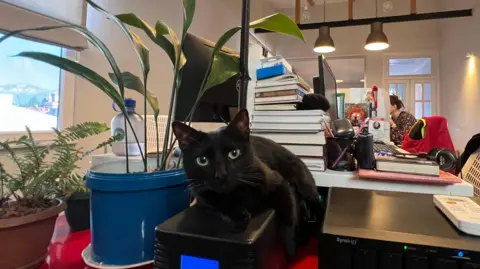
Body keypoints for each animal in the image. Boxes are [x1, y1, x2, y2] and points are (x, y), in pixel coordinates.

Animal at [171, 108, 320, 256]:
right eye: (202, 160)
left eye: (234, 153)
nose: (221, 174)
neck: (239, 193)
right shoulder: (201, 195)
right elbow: (219, 202)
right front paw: (240, 217)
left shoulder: (280, 184)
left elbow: (290, 216)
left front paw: (291, 250)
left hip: (305, 185)